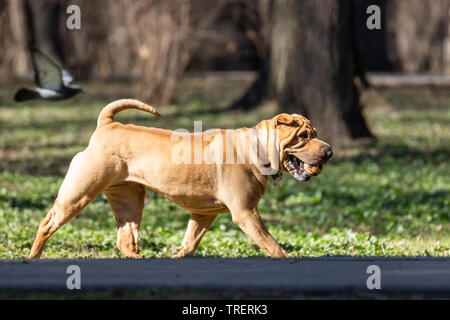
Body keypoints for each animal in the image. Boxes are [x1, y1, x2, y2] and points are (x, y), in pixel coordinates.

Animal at [27, 99, 330, 258]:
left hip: (129, 199)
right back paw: (33, 257)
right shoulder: (246, 213)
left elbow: (189, 243)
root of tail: (107, 125)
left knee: (125, 240)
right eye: (304, 136)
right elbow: (272, 245)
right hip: (78, 194)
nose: (330, 151)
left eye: (315, 133)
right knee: (46, 223)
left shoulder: (203, 214)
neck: (256, 148)